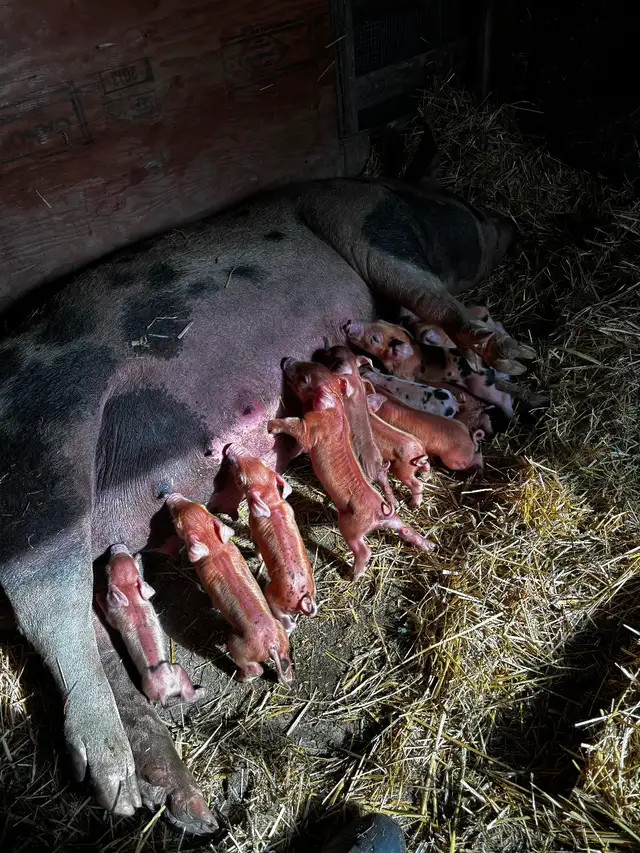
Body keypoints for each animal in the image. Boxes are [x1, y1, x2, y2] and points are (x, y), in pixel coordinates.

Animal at [97, 544, 200, 705]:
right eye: (109, 567)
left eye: (128, 558)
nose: (117, 545)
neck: (129, 592)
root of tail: (164, 692)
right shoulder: (113, 616)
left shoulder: (114, 615)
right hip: (178, 672)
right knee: (187, 696)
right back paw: (203, 690)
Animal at [165, 494, 293, 685]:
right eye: (200, 506)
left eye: (178, 524)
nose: (171, 496)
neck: (213, 545)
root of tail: (270, 645)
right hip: (282, 638)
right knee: (285, 661)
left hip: (237, 645)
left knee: (256, 669)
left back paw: (239, 677)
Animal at [223, 443, 316, 633]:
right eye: (259, 461)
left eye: (240, 479)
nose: (231, 446)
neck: (271, 502)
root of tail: (301, 600)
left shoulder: (254, 527)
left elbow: (256, 545)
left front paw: (257, 557)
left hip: (272, 596)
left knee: (289, 622)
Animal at [268, 359, 435, 580]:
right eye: (310, 363)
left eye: (305, 379)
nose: (286, 360)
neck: (335, 407)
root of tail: (380, 513)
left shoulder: (310, 430)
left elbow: (295, 427)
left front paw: (271, 426)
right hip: (394, 521)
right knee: (406, 530)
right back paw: (430, 545)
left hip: (351, 526)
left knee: (364, 550)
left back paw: (351, 575)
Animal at [314, 343, 395, 505]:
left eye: (331, 352)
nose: (318, 351)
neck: (354, 377)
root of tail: (377, 467)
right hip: (383, 473)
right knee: (386, 485)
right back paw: (394, 503)